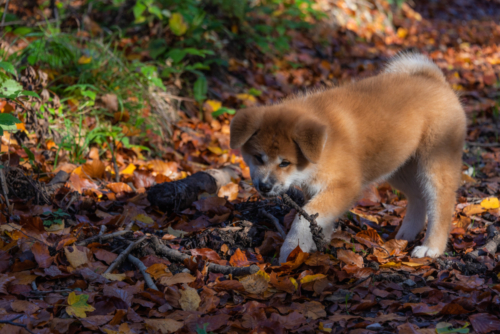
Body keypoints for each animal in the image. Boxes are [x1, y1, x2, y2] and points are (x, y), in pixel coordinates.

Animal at [229, 53, 464, 264]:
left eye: (285, 162)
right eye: (258, 157)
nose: (264, 187)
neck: (324, 146)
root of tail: (435, 80)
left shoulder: (346, 186)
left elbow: (303, 218)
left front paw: (290, 252)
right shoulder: (316, 189)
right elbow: (317, 220)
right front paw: (316, 246)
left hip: (434, 164)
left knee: (441, 205)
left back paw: (431, 248)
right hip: (398, 167)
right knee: (418, 199)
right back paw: (405, 236)